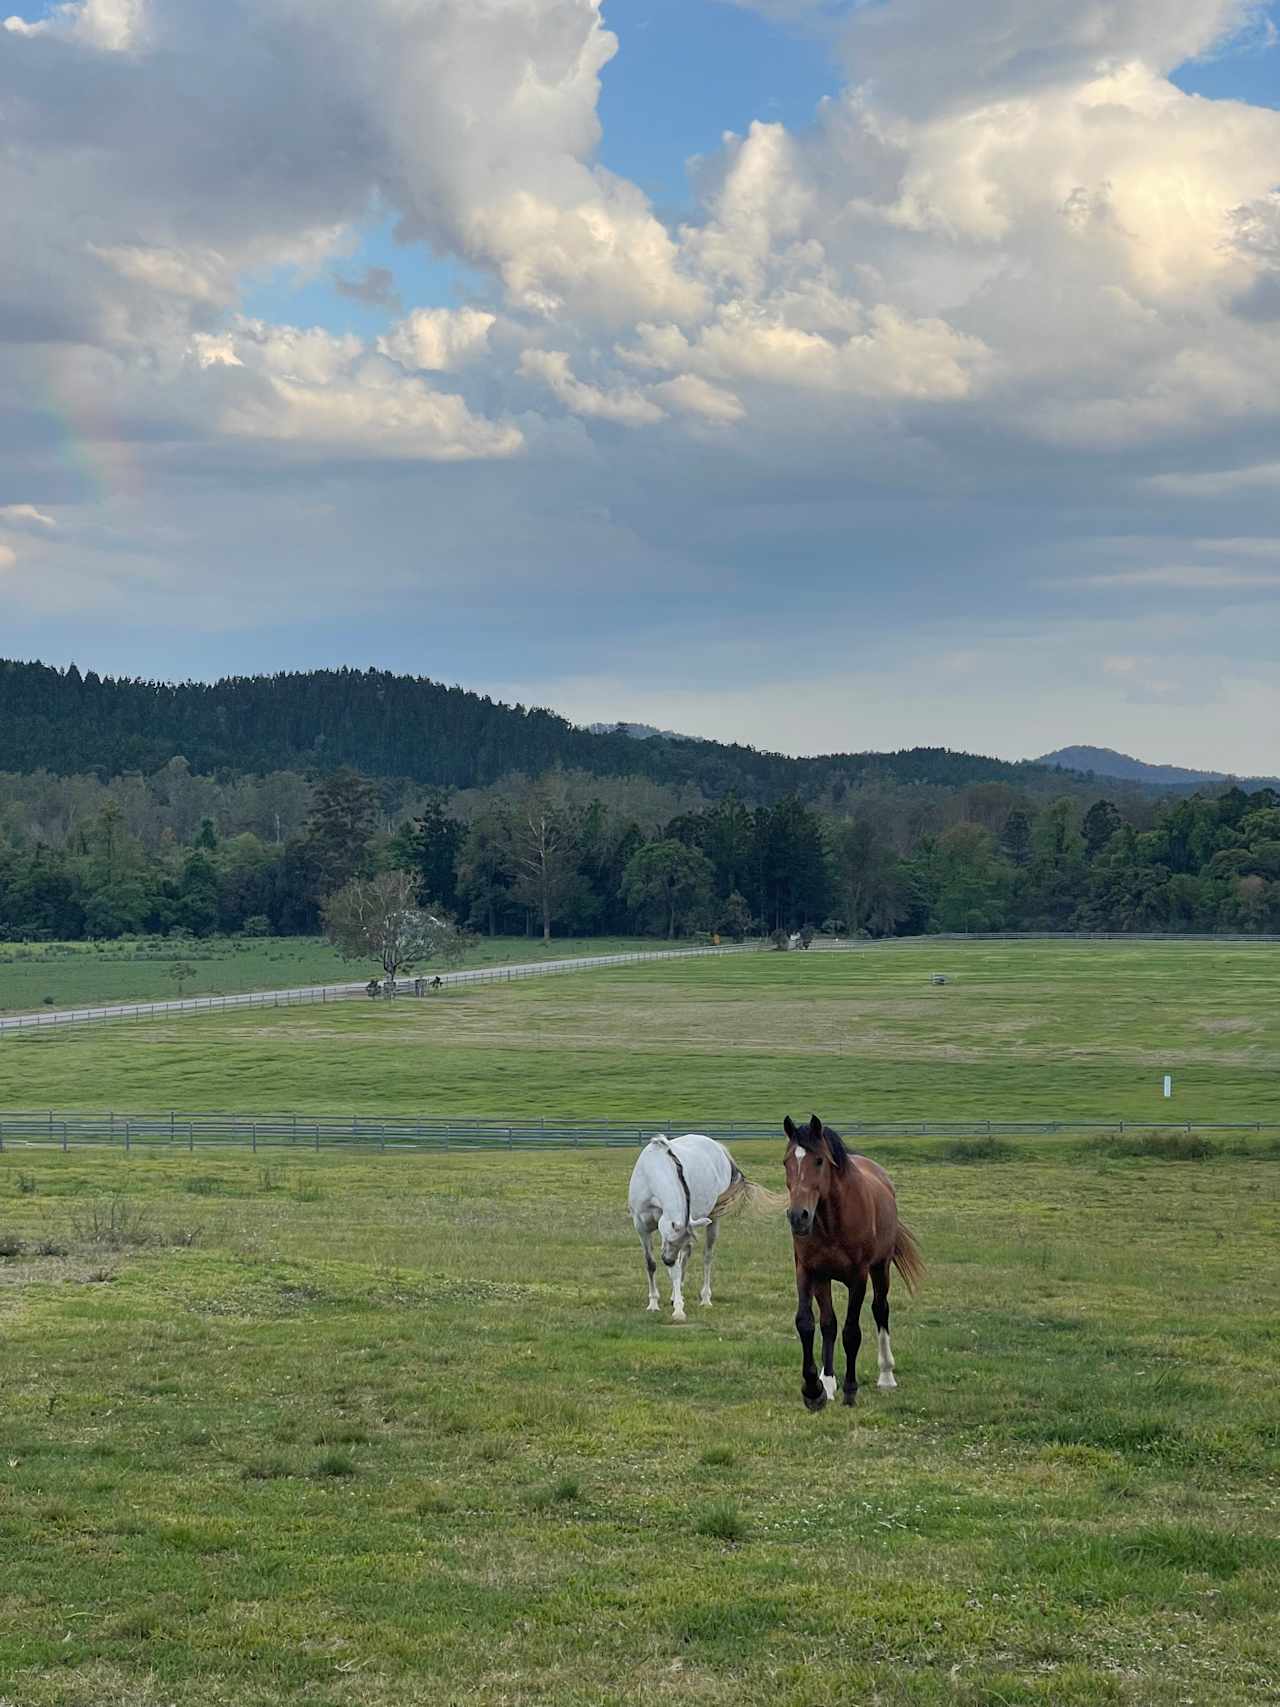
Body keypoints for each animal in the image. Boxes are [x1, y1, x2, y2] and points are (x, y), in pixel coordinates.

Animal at [628, 1140, 750, 1324]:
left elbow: (676, 1270)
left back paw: (705, 1298)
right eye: (670, 1240)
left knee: (706, 1256)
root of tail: (718, 1147)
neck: (652, 1173)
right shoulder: (641, 1227)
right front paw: (653, 1304)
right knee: (686, 1257)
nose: (668, 1260)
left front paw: (679, 1310)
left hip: (714, 1219)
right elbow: (651, 1264)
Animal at [781, 1112, 921, 1406]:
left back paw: (886, 1375)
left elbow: (851, 1332)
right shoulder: (810, 1272)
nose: (798, 1216)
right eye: (786, 1162)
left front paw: (850, 1389)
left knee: (880, 1310)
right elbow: (811, 1324)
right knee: (830, 1324)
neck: (833, 1223)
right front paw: (816, 1387)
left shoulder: (858, 1277)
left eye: (819, 1160)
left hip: (880, 1269)